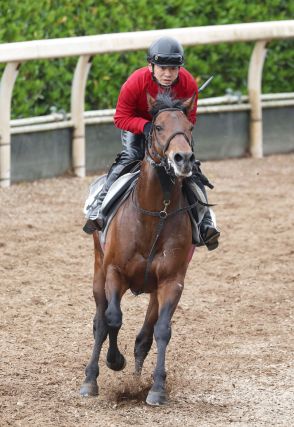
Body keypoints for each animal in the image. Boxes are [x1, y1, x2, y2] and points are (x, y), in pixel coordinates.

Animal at [81, 92, 198, 406]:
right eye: (157, 127)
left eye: (189, 127)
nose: (183, 158)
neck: (155, 216)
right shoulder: (114, 273)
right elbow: (112, 319)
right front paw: (114, 361)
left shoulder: (171, 281)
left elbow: (162, 330)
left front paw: (156, 387)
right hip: (98, 271)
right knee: (101, 321)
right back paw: (90, 379)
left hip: (154, 290)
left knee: (144, 335)